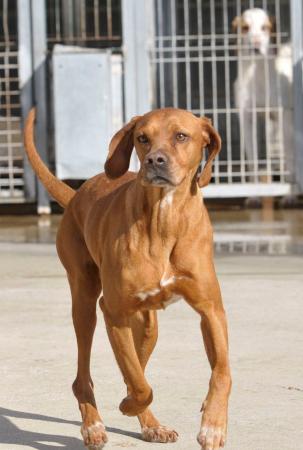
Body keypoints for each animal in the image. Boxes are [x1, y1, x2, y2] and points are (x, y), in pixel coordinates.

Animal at [24, 108, 233, 450]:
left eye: (181, 136)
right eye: (142, 138)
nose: (155, 160)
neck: (164, 218)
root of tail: (78, 192)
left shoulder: (211, 310)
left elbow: (222, 371)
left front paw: (213, 425)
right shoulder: (114, 312)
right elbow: (140, 384)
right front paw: (128, 405)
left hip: (148, 326)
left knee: (136, 364)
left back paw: (151, 424)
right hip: (85, 305)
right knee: (86, 376)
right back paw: (93, 425)